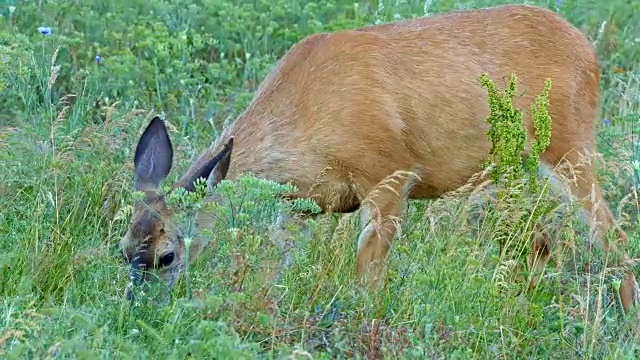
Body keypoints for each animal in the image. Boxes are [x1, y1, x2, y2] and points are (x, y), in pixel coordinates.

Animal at [121, 2, 640, 312]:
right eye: (123, 250)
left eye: (167, 256)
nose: (138, 311)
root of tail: (585, 46)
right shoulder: (302, 204)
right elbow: (276, 267)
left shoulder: (390, 173)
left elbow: (366, 279)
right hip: (510, 175)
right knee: (539, 246)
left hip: (570, 145)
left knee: (611, 236)